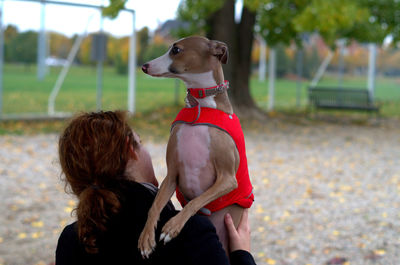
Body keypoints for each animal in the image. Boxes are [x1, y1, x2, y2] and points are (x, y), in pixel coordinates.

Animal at [138, 35, 253, 258]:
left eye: (176, 49)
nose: (144, 66)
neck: (201, 107)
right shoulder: (172, 174)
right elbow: (154, 207)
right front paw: (146, 238)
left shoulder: (228, 179)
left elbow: (195, 201)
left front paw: (172, 227)